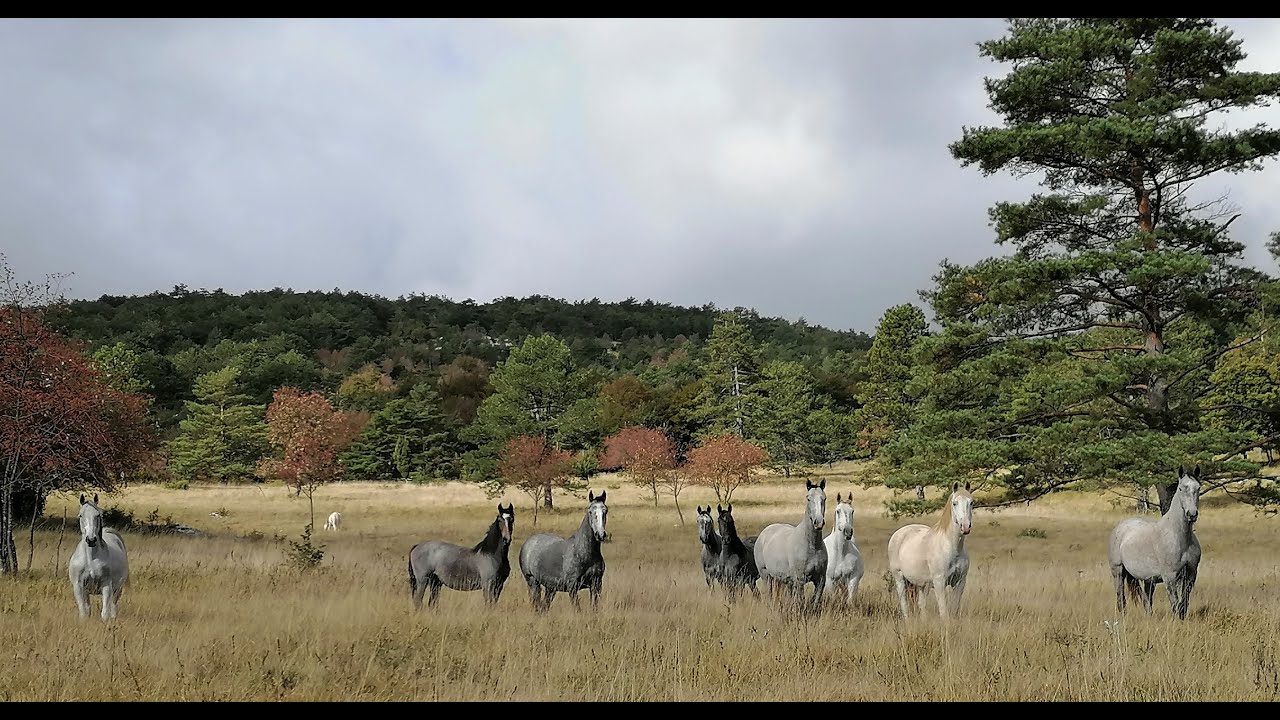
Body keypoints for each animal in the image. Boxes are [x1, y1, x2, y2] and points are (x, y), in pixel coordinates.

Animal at [753, 478, 828, 614]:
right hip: (766, 575)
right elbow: (801, 602)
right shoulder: (799, 580)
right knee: (769, 595)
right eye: (808, 498)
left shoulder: (820, 580)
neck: (812, 546)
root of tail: (763, 534)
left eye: (824, 498)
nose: (818, 522)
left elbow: (815, 602)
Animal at [887, 481, 974, 618]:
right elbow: (944, 612)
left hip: (921, 585)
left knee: (921, 605)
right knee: (904, 605)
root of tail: (899, 533)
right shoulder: (939, 582)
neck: (952, 548)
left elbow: (954, 610)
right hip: (899, 578)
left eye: (971, 502)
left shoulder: (960, 582)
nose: (965, 526)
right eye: (955, 503)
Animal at [1107, 465, 1202, 620]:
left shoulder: (1190, 575)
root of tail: (1121, 527)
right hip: (1118, 572)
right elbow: (1175, 605)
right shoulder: (1170, 577)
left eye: (1198, 488)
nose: (1192, 514)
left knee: (1147, 603)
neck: (1180, 538)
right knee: (1121, 598)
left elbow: (1184, 604)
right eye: (1181, 488)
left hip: (1148, 581)